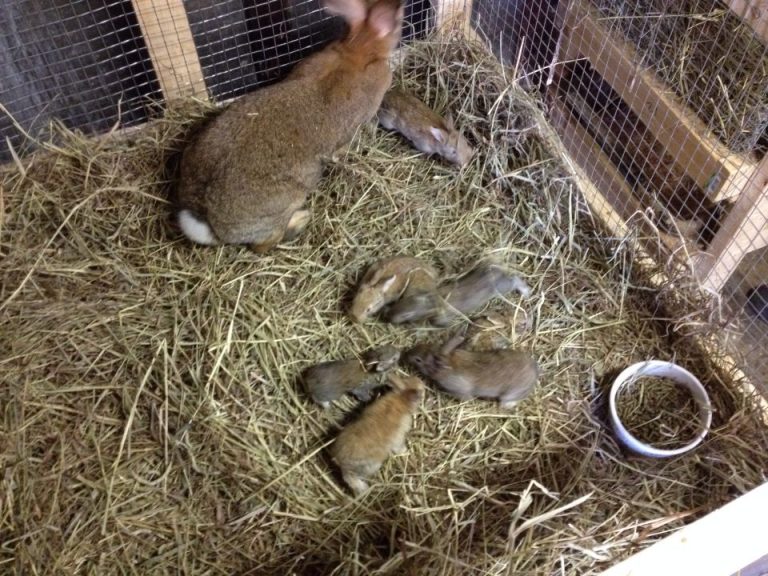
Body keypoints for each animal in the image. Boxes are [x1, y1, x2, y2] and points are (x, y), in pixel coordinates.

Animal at [387, 262, 530, 325]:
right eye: (400, 300)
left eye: (406, 315)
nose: (387, 316)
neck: (430, 302)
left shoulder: (441, 318)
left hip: (504, 287)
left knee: (516, 280)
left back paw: (526, 291)